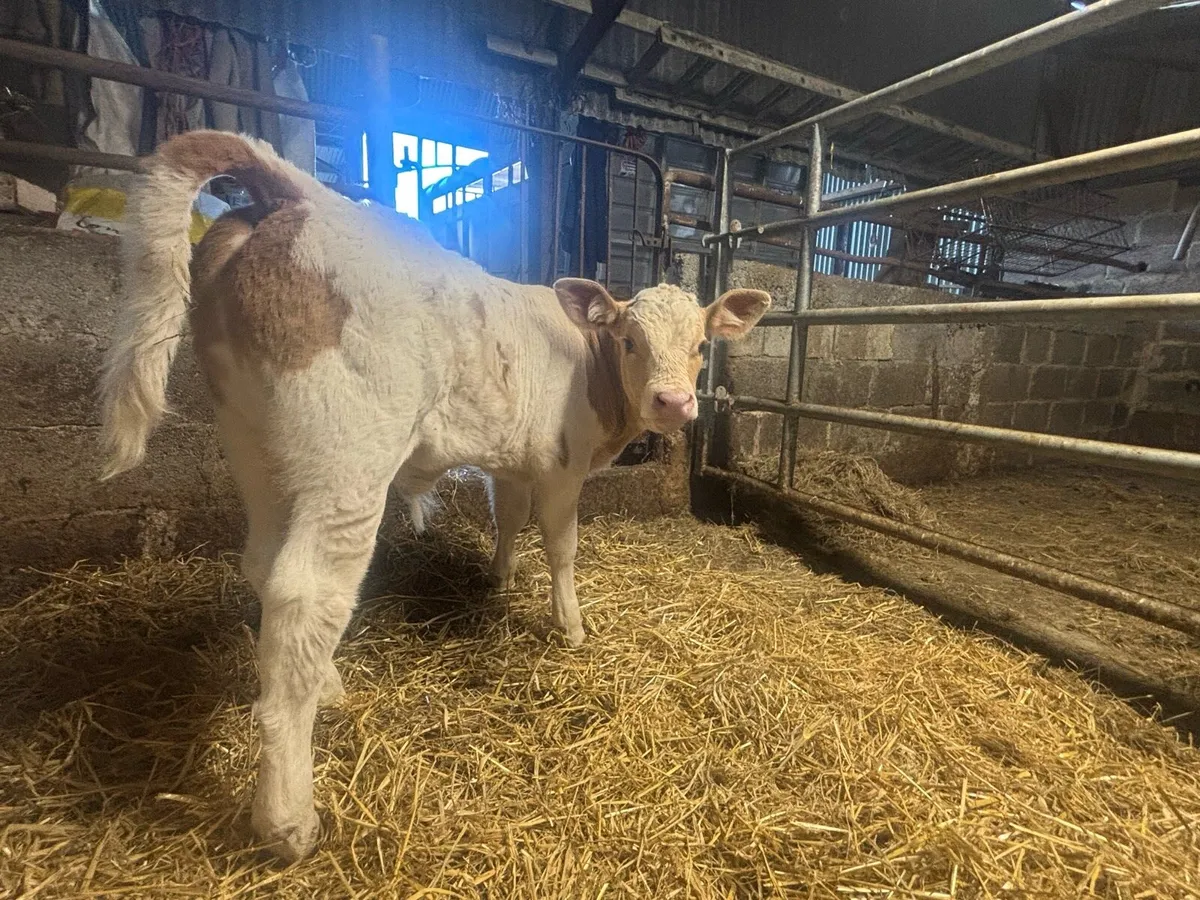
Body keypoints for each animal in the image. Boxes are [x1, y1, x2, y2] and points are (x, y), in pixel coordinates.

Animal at [98, 130, 769, 861]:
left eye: (701, 345)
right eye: (628, 339)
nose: (673, 402)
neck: (587, 367)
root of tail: (297, 198)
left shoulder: (514, 461)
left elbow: (508, 520)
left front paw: (499, 578)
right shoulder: (561, 466)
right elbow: (562, 547)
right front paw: (570, 626)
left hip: (257, 449)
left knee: (263, 567)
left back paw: (326, 686)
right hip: (347, 465)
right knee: (305, 596)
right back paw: (287, 819)